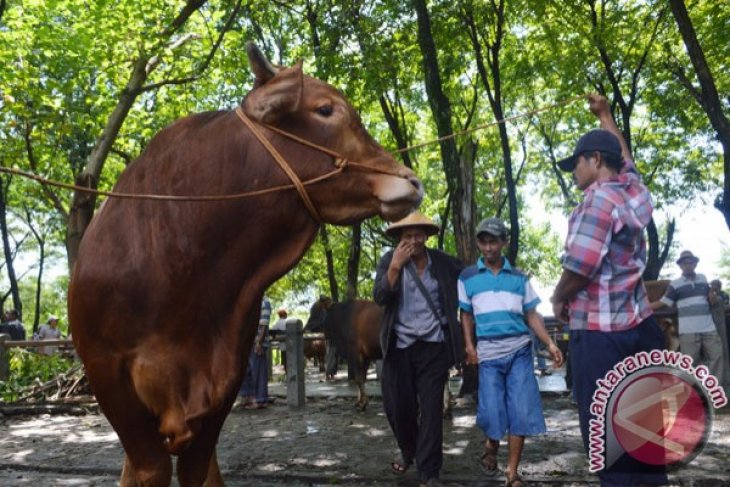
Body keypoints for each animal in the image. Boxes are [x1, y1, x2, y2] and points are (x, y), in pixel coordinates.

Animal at [69, 43, 420, 487]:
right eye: (325, 109)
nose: (411, 180)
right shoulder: (109, 377)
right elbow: (150, 468)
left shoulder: (226, 380)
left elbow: (198, 468)